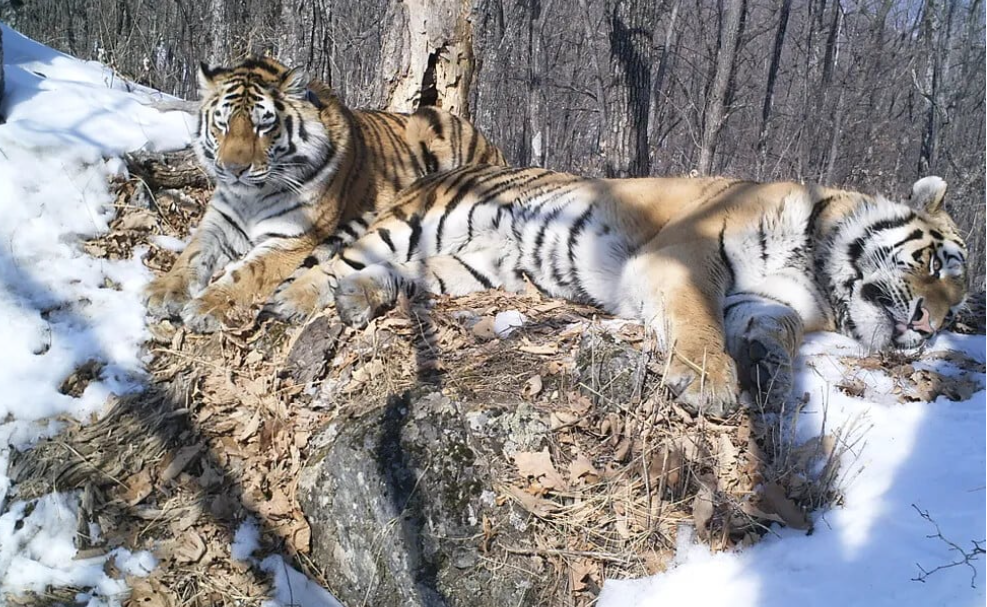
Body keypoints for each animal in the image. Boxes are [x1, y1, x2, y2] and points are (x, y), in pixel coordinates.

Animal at [145, 56, 510, 332]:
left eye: (263, 125)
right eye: (222, 124)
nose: (233, 169)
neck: (251, 196)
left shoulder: (292, 240)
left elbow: (244, 275)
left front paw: (205, 306)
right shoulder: (219, 223)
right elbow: (190, 256)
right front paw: (161, 292)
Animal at [260, 164, 964, 416]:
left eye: (958, 306)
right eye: (936, 264)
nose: (931, 328)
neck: (816, 269)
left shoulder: (768, 299)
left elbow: (775, 327)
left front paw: (767, 364)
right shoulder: (684, 256)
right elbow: (698, 320)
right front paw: (708, 384)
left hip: (472, 268)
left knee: (400, 278)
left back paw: (360, 298)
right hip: (416, 224)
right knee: (329, 262)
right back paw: (292, 301)